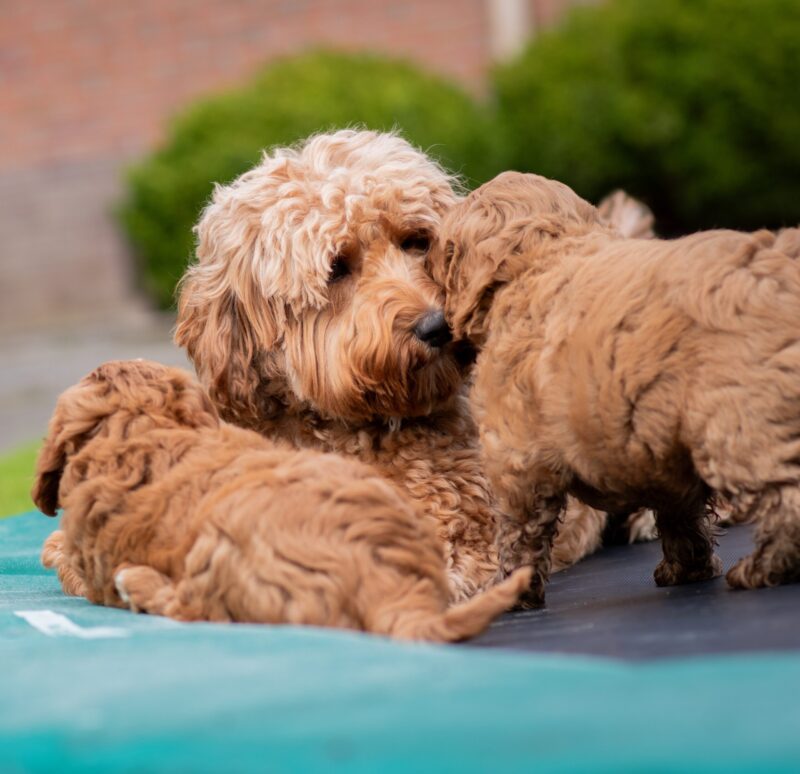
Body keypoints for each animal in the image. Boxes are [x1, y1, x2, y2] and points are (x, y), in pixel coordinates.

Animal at [432, 173, 800, 608]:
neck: (540, 259)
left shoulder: (516, 458)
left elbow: (518, 531)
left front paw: (511, 590)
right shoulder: (660, 449)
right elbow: (681, 513)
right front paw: (688, 568)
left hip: (738, 420)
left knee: (785, 498)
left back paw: (765, 566)